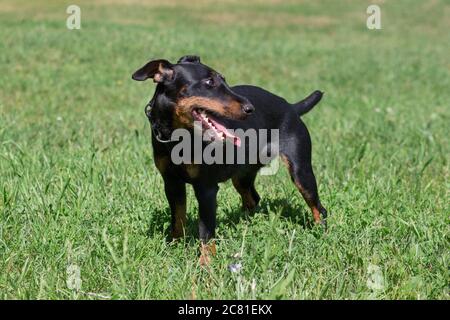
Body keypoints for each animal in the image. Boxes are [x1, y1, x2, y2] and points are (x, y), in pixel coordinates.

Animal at [131, 55, 326, 264]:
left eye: (224, 80)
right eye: (209, 82)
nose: (250, 108)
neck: (177, 137)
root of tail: (291, 107)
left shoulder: (206, 187)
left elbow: (206, 232)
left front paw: (205, 265)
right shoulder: (171, 183)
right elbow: (178, 219)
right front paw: (173, 248)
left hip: (300, 170)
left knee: (318, 208)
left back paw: (321, 235)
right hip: (242, 175)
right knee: (253, 198)